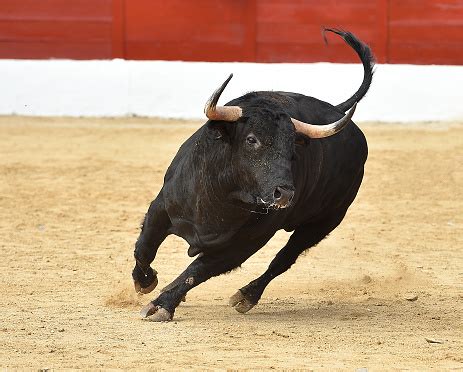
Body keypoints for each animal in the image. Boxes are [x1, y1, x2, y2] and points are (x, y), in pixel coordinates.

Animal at [131, 29, 376, 322]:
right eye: (251, 139)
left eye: (293, 149)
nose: (285, 194)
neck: (221, 195)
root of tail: (339, 112)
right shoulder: (161, 207)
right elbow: (144, 247)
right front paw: (146, 282)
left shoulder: (242, 245)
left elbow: (195, 272)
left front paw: (162, 304)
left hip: (326, 220)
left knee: (284, 258)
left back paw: (247, 296)